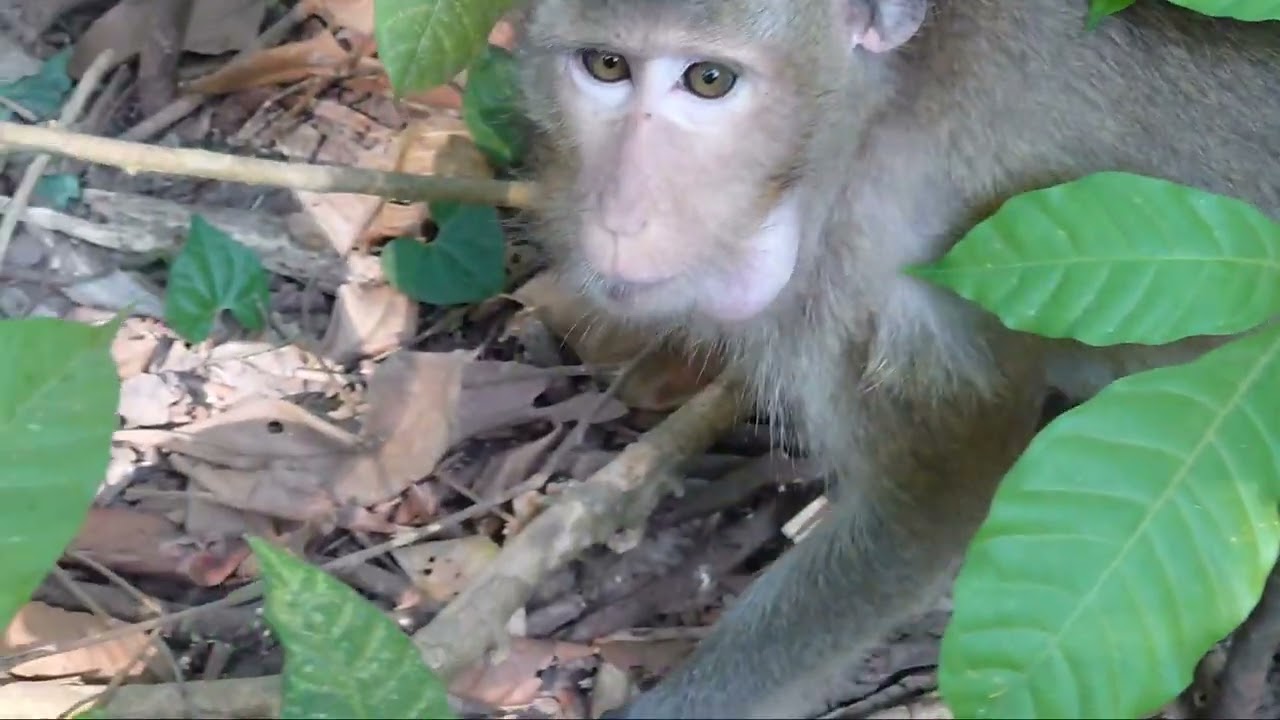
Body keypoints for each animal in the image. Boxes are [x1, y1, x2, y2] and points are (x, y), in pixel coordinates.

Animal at [512, 1, 1280, 717]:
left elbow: (936, 493)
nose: (619, 216)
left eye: (709, 80)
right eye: (606, 65)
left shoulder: (906, 246)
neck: (871, 116)